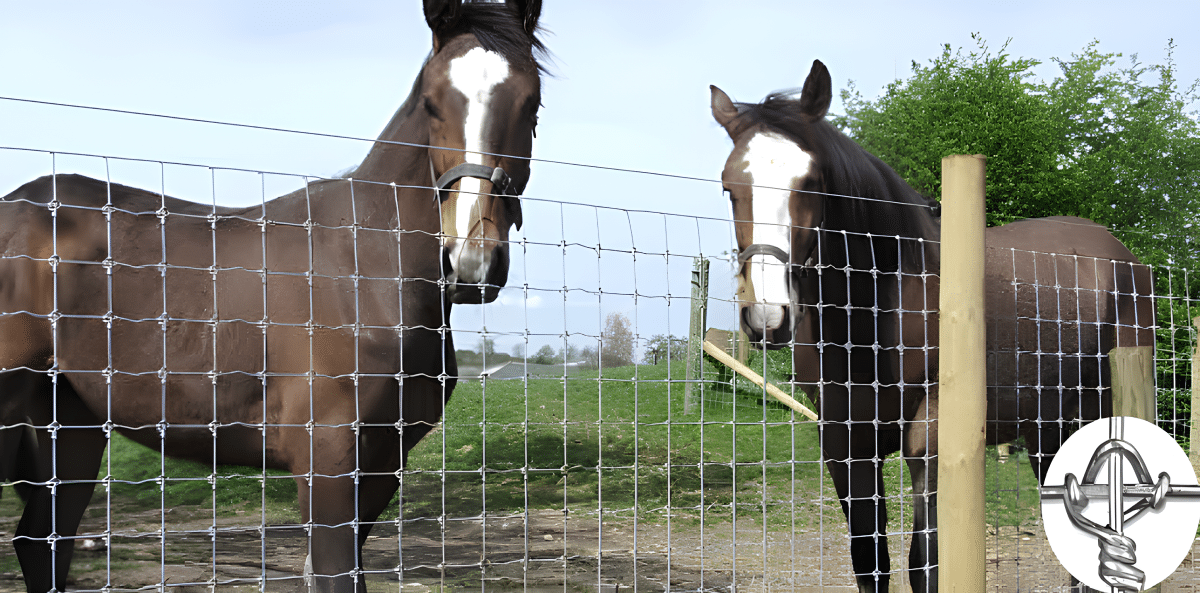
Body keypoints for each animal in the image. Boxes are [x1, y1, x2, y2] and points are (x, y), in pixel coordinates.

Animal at [0, 2, 544, 590]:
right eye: (431, 102)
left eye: (532, 104)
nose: (471, 262)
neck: (367, 272)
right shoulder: (329, 463)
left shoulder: (382, 466)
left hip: (70, 423)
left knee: (42, 542)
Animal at [710, 57, 1152, 590]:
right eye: (729, 187)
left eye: (811, 181)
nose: (767, 317)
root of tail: (1124, 259)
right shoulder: (844, 444)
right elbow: (870, 562)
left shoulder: (932, 443)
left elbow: (926, 564)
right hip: (1046, 426)